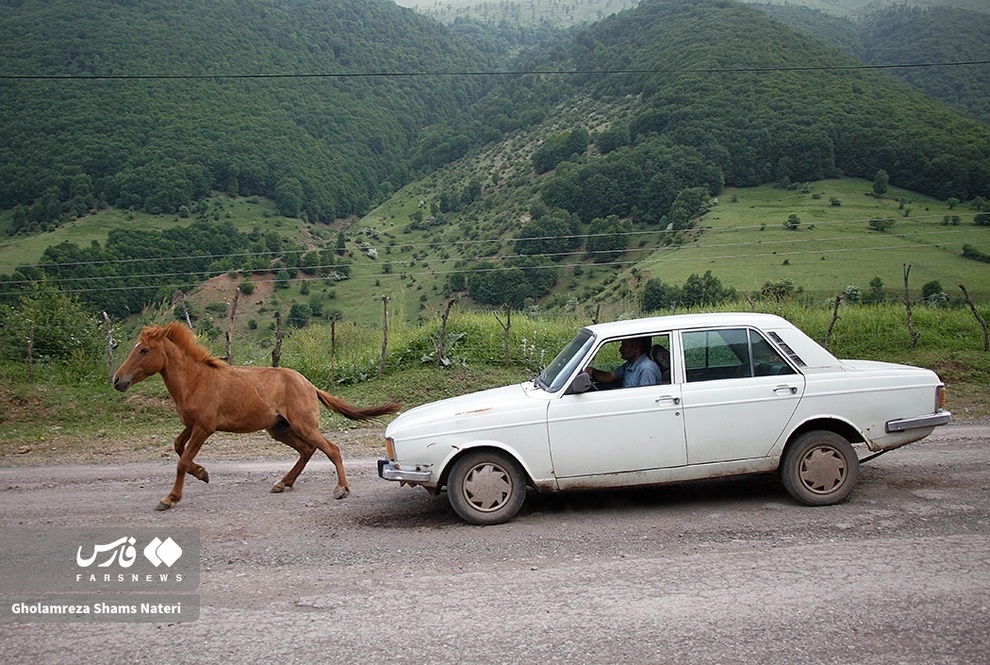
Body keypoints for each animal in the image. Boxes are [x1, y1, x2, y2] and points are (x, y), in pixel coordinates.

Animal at [111, 322, 400, 508]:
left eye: (144, 350)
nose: (116, 380)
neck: (196, 381)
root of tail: (309, 384)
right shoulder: (192, 425)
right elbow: (178, 448)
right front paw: (202, 472)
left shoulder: (204, 427)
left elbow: (181, 461)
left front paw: (170, 498)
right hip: (278, 428)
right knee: (307, 450)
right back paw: (283, 483)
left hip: (303, 425)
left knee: (332, 449)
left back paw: (341, 489)